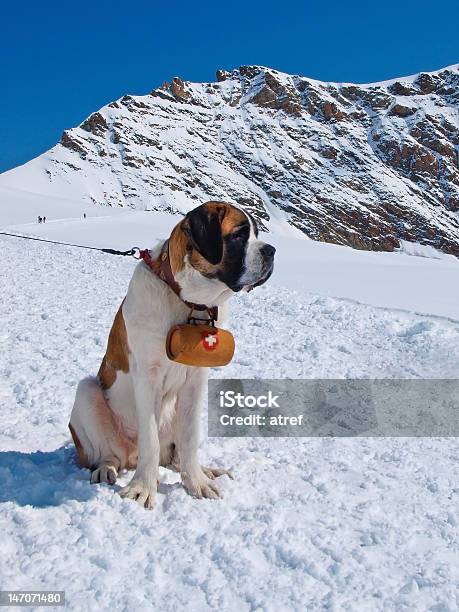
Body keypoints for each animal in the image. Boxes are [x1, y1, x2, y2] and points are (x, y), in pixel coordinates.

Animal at [68, 201, 274, 506]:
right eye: (238, 235)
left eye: (257, 234)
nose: (271, 250)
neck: (189, 303)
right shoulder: (147, 376)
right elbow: (150, 439)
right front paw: (142, 488)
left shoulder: (196, 380)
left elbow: (190, 436)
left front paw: (197, 483)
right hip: (88, 392)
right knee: (110, 455)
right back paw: (106, 470)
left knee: (174, 454)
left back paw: (205, 471)